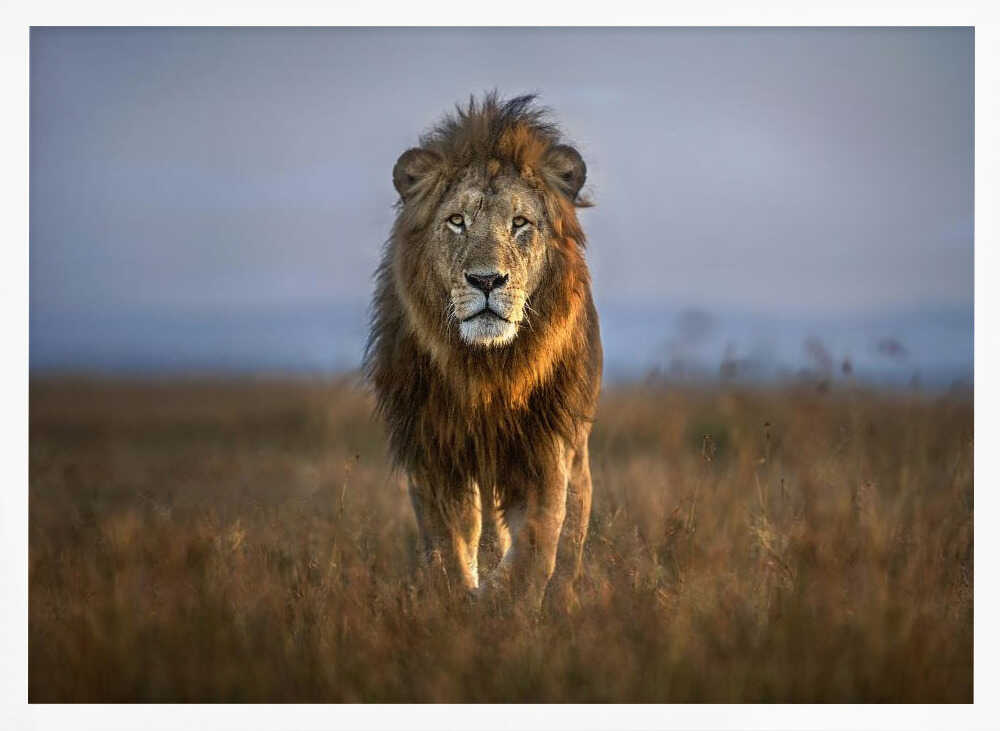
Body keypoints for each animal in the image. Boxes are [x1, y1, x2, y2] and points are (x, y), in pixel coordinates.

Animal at [366, 93, 602, 611]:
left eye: (520, 223)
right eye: (457, 221)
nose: (487, 280)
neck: (487, 368)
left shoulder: (546, 447)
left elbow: (536, 543)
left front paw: (502, 601)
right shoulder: (433, 450)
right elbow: (450, 544)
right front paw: (460, 600)